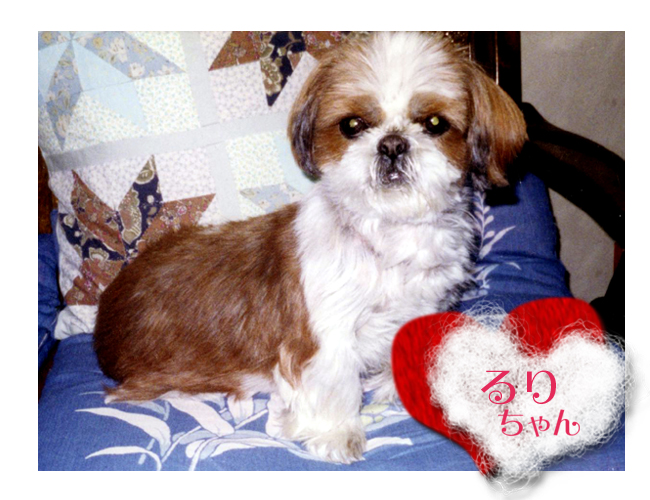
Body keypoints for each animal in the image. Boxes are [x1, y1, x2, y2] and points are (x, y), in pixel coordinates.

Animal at [94, 31, 527, 464]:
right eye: (352, 125)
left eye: (435, 124)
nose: (392, 145)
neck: (388, 236)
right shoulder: (324, 336)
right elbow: (333, 384)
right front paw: (336, 433)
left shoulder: (420, 309)